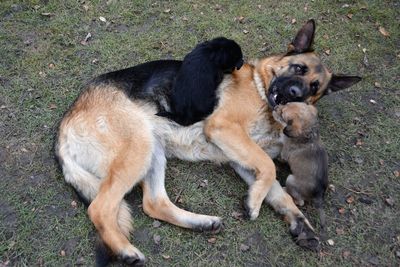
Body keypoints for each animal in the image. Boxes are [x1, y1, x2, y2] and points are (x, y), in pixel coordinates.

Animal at [274, 103, 326, 239]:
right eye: (286, 103)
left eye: (282, 114)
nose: (275, 106)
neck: (308, 132)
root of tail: (318, 195)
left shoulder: (284, 153)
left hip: (290, 179)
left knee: (300, 202)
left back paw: (285, 189)